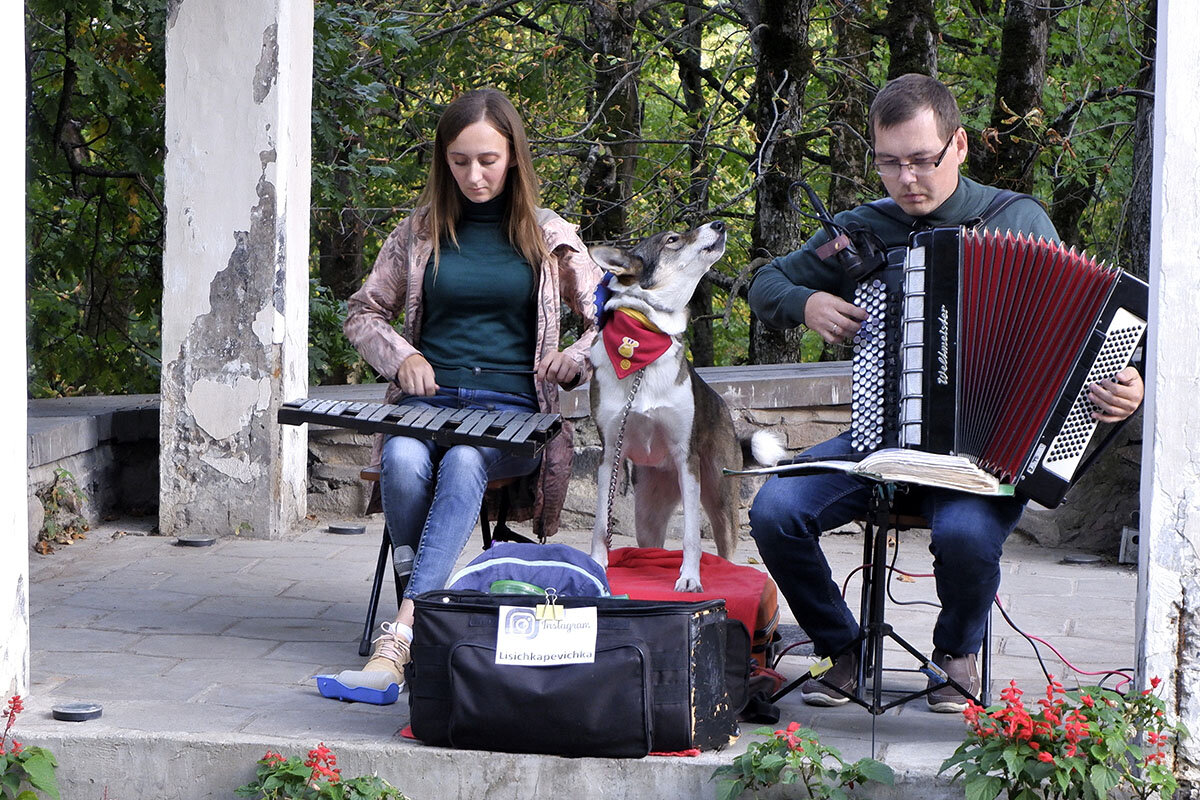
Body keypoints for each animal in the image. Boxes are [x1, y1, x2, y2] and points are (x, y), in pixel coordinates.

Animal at [588, 221, 787, 592]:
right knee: (650, 542)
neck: (643, 349)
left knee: (725, 549)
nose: (719, 224)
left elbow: (692, 535)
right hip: (647, 516)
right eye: (672, 240)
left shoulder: (686, 459)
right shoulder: (609, 455)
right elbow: (600, 525)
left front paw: (690, 577)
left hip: (720, 500)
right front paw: (596, 563)